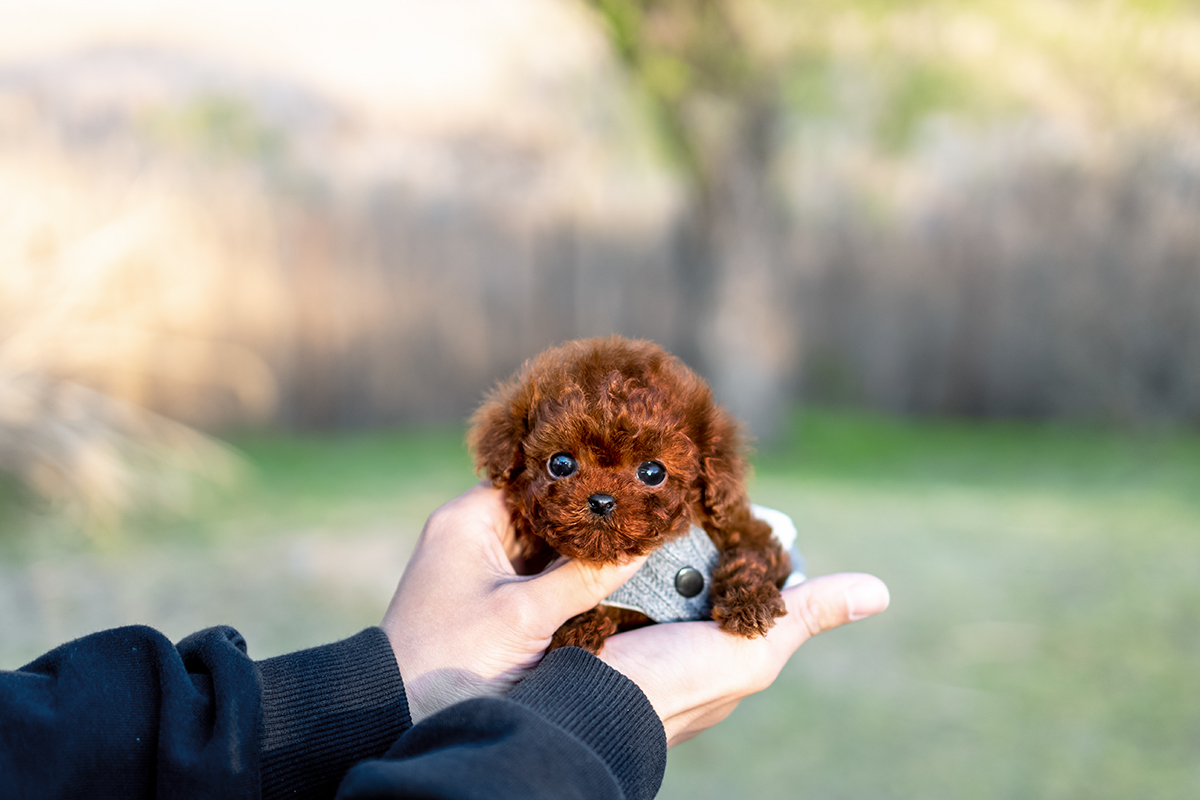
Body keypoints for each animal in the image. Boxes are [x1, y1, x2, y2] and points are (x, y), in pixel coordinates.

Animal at [470, 335, 796, 652]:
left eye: (652, 472)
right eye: (561, 464)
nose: (601, 501)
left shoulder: (738, 525)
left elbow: (751, 554)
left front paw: (749, 602)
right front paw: (577, 628)